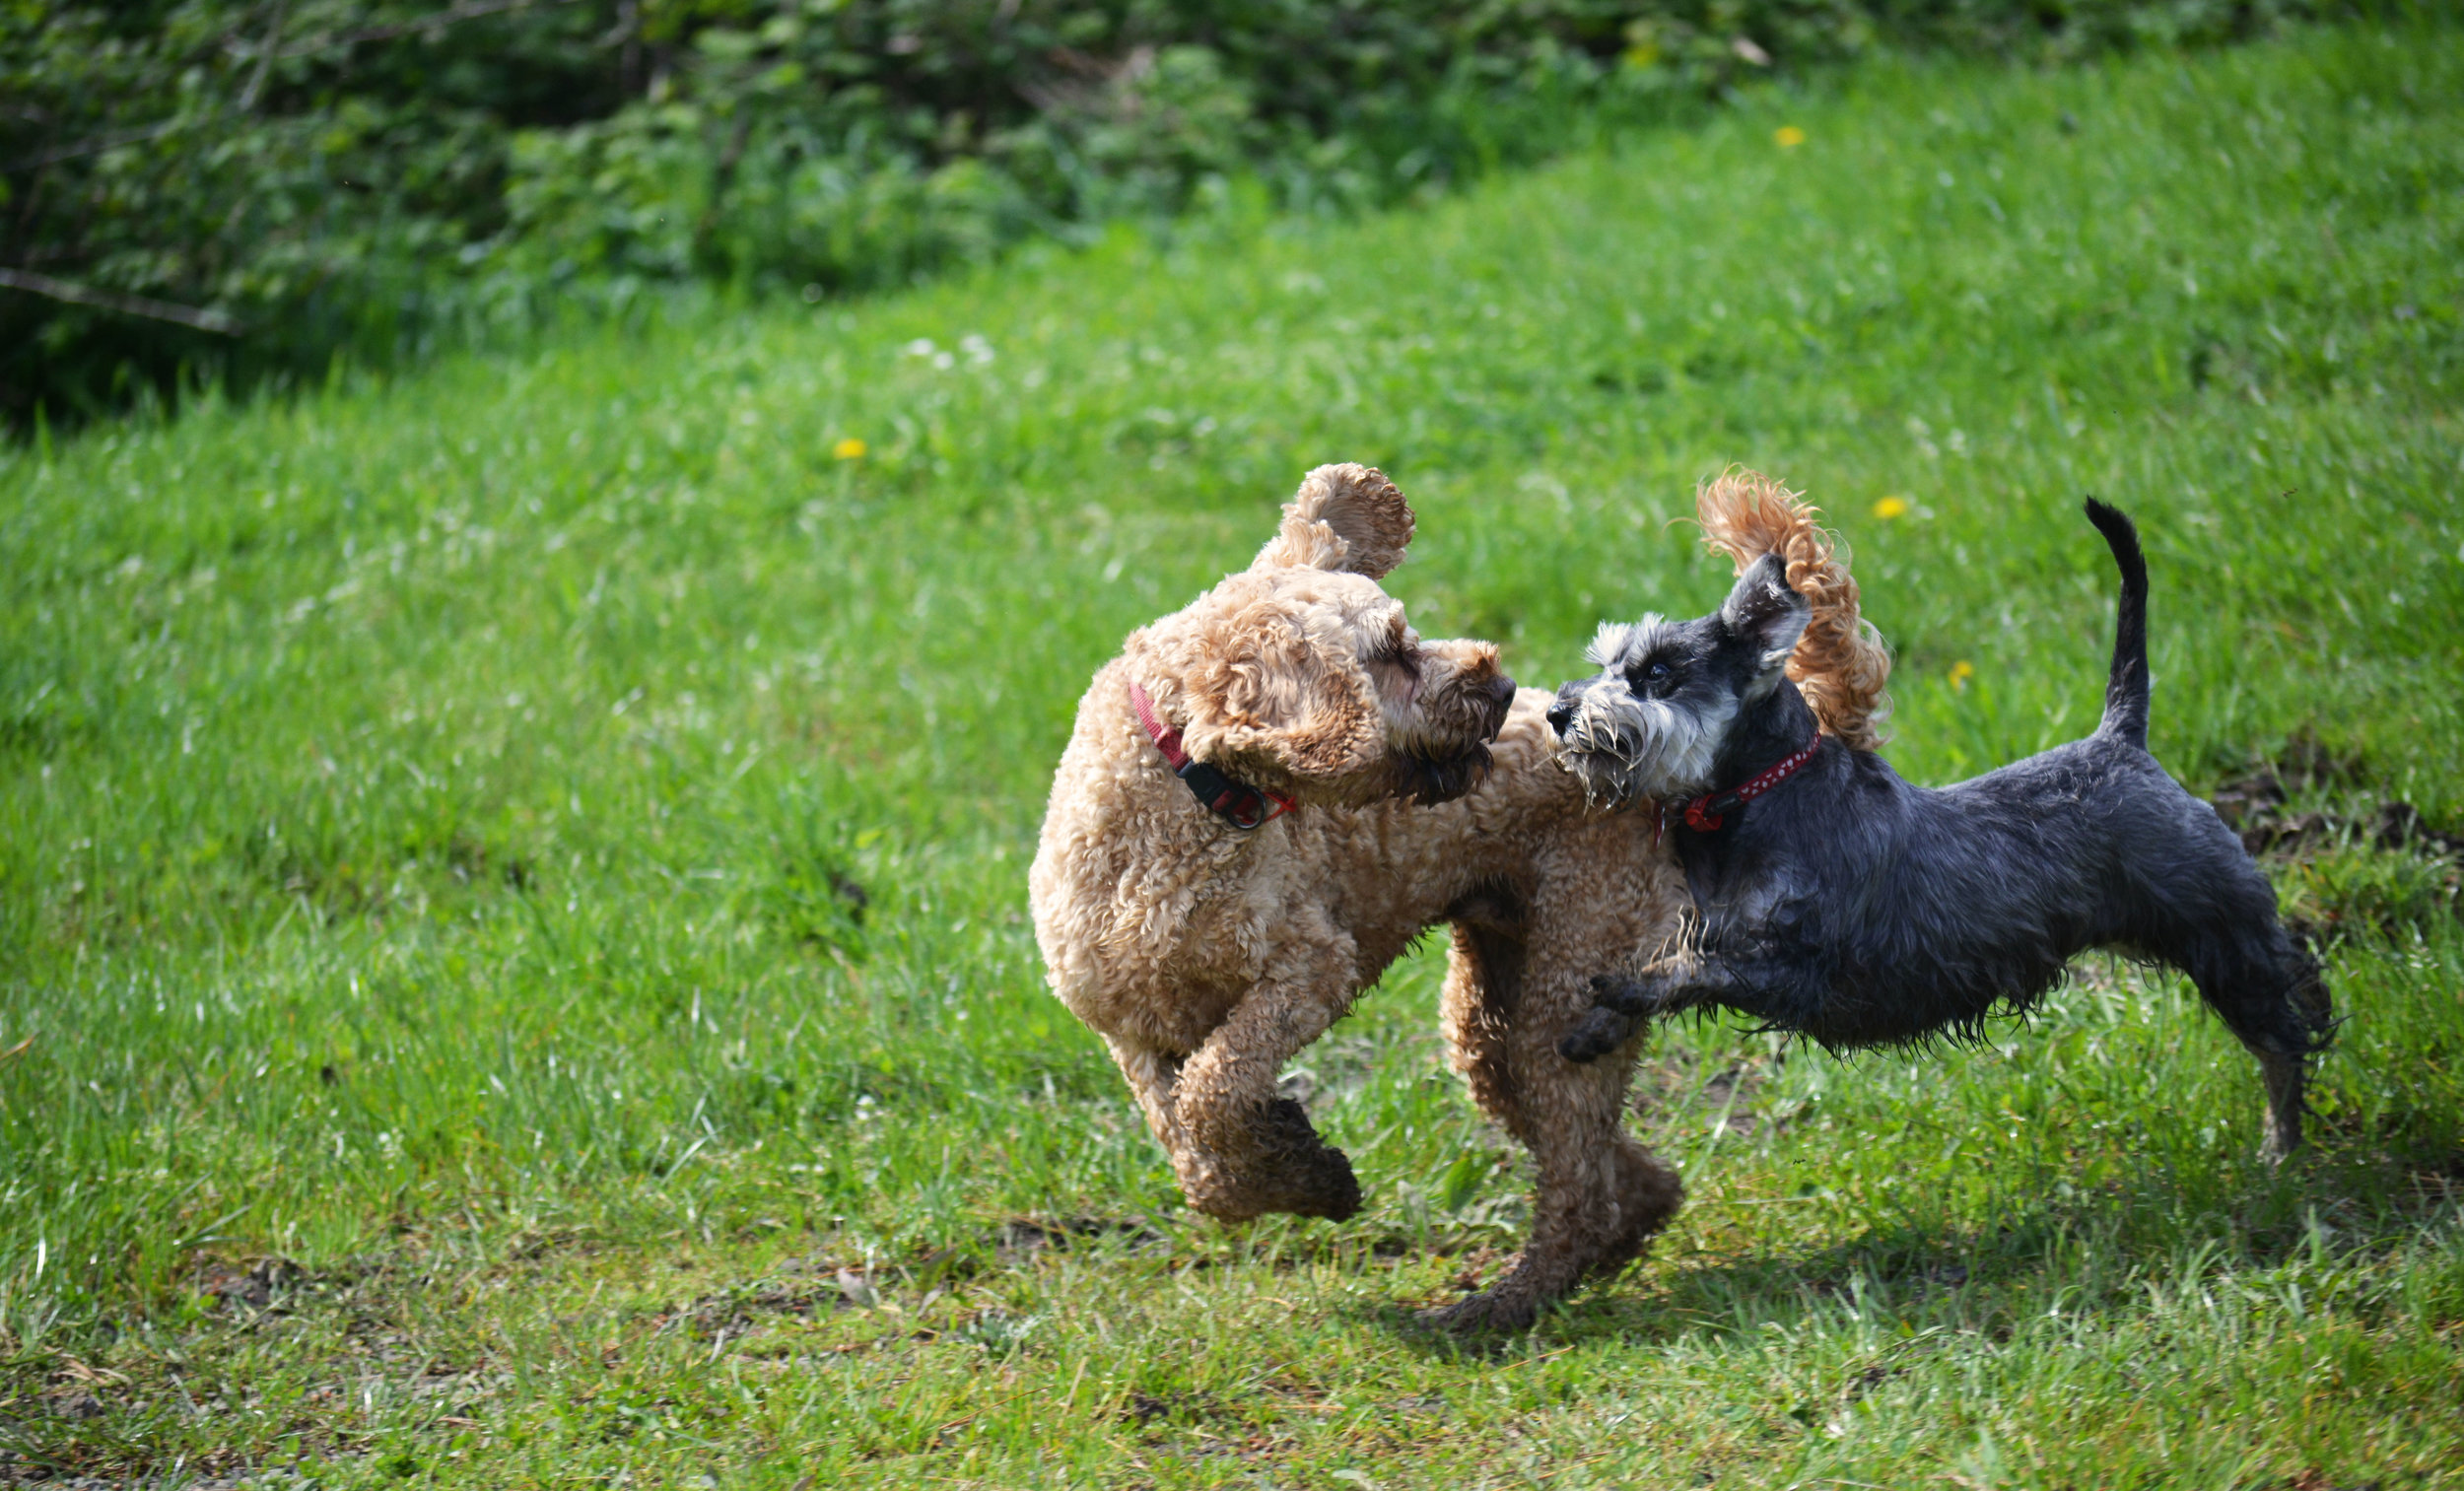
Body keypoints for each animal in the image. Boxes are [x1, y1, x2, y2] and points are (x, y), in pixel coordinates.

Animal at [1547, 495, 2336, 1158]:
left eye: (1658, 671)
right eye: (1607, 663)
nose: (1559, 711)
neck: (1754, 801)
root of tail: (2121, 740)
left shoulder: (1796, 965)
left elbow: (1686, 972)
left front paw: (1619, 990)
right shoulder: (1714, 926)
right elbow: (1671, 962)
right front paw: (1591, 1031)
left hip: (2222, 937)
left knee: (2286, 1029)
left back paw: (2282, 1146)